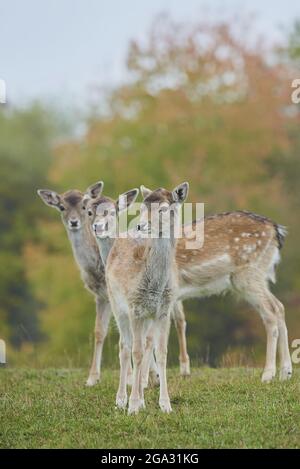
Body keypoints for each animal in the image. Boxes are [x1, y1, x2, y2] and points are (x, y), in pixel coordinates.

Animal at [37, 181, 110, 386]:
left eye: (84, 207)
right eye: (61, 207)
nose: (74, 222)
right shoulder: (101, 296)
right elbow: (99, 331)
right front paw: (92, 378)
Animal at [141, 184, 292, 384]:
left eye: (163, 209)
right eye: (142, 207)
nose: (141, 225)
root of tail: (276, 230)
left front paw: (150, 380)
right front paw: (152, 379)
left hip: (247, 274)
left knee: (270, 311)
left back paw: (268, 374)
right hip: (255, 276)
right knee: (279, 306)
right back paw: (286, 372)